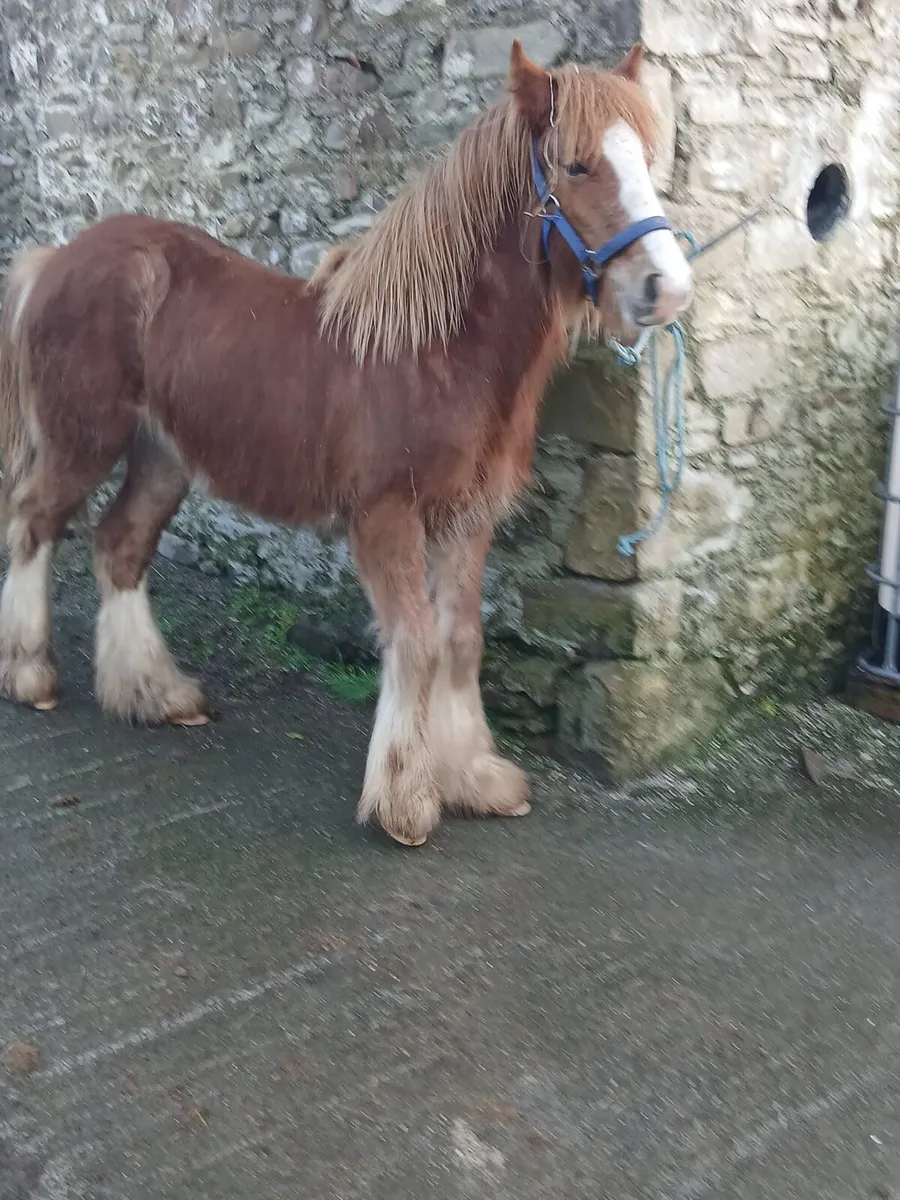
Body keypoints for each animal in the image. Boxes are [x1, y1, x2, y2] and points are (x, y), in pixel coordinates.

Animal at [0, 41, 691, 846]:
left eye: (648, 156)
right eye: (577, 165)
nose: (666, 287)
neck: (438, 352)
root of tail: (56, 258)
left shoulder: (468, 519)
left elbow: (461, 641)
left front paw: (474, 778)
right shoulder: (385, 517)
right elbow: (416, 643)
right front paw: (405, 801)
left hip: (162, 458)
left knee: (120, 545)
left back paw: (154, 691)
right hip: (83, 442)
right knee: (35, 524)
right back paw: (31, 675)